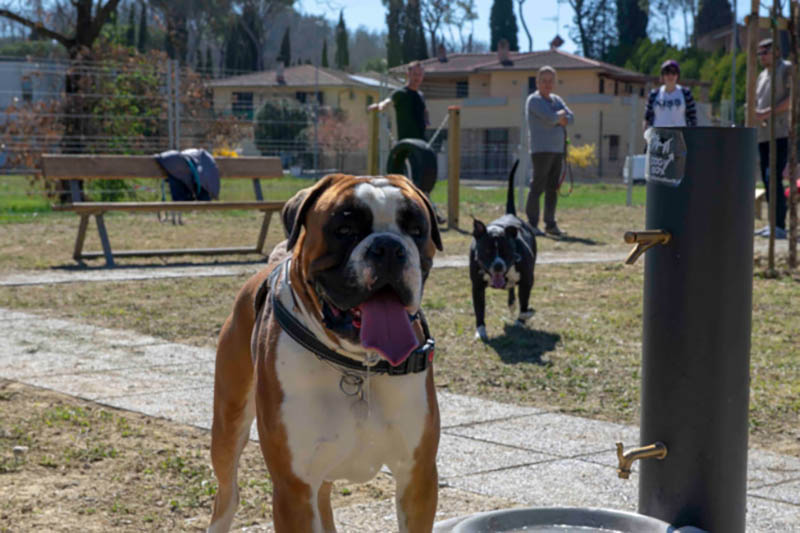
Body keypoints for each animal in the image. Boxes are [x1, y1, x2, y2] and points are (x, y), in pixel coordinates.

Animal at [209, 175, 440, 532]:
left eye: (416, 229)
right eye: (344, 229)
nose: (389, 247)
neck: (358, 367)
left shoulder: (418, 477)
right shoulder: (294, 488)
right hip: (227, 426)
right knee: (227, 494)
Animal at [468, 159, 536, 340]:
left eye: (506, 251)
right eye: (486, 251)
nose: (498, 266)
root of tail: (510, 214)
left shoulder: (527, 280)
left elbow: (525, 304)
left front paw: (523, 318)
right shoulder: (477, 286)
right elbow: (479, 310)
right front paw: (480, 331)